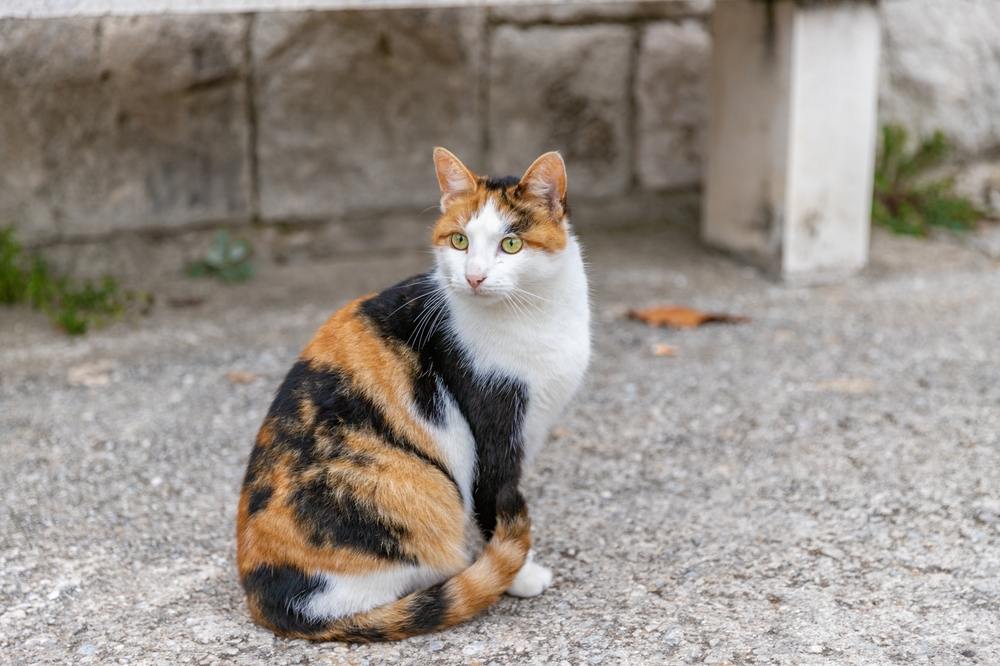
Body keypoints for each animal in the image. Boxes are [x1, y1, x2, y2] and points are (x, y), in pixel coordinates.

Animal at [235, 149, 588, 640]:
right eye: (459, 241)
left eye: (511, 245)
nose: (474, 277)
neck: (535, 315)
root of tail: (276, 603)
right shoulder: (493, 430)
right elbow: (494, 500)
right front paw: (521, 575)